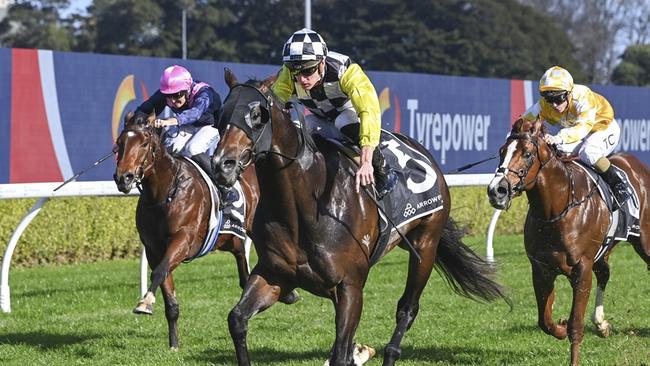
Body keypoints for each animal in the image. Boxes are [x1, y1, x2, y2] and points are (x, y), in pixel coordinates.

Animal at [114, 110, 258, 350]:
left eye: (144, 143)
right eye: (119, 143)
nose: (122, 178)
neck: (163, 194)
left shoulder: (183, 239)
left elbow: (160, 271)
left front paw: (144, 302)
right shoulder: (153, 249)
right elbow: (167, 288)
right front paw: (173, 343)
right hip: (229, 238)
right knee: (239, 252)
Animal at [210, 68, 508, 366]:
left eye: (257, 115)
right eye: (221, 113)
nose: (222, 165)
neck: (303, 206)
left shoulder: (351, 285)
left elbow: (342, 349)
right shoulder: (274, 275)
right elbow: (237, 319)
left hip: (425, 244)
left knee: (407, 308)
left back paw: (390, 352)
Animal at [486, 118, 648, 364]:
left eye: (527, 154)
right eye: (501, 151)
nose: (497, 190)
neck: (557, 209)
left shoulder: (582, 269)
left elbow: (576, 325)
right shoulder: (541, 270)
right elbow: (545, 321)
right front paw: (561, 326)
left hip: (643, 241)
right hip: (604, 248)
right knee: (604, 273)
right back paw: (601, 324)